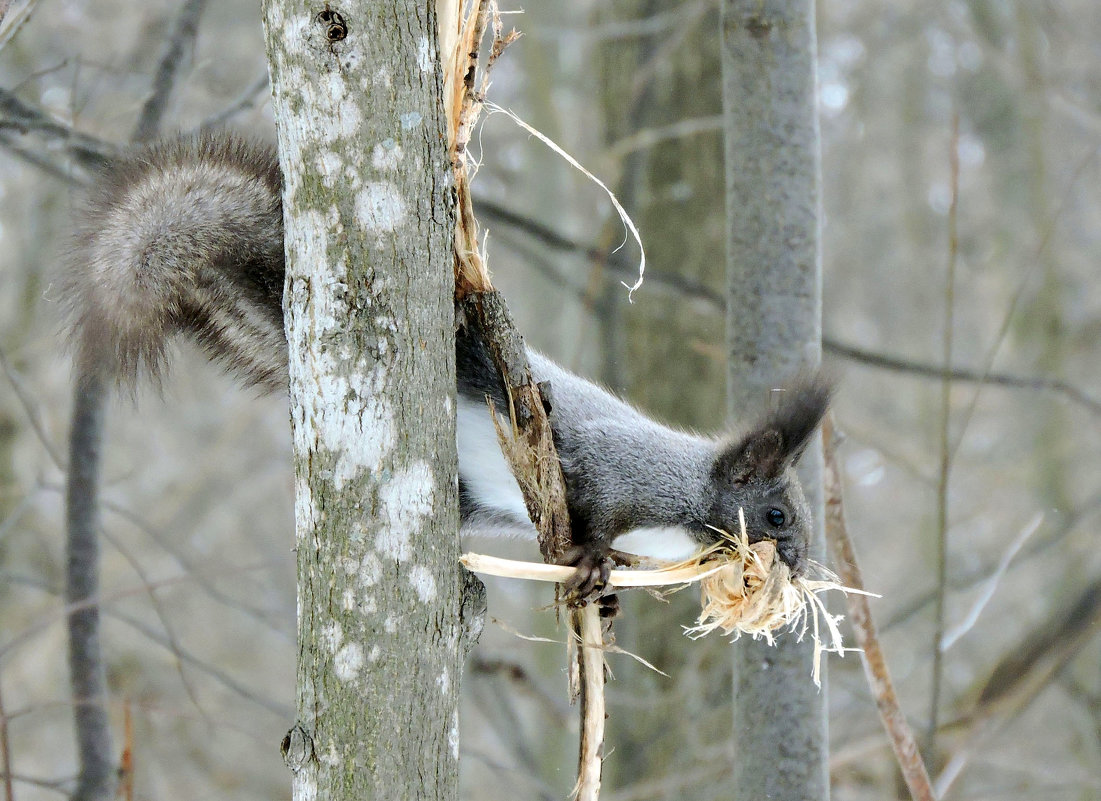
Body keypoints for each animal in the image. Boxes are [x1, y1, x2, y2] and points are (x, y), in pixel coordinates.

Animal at [64, 131, 827, 580]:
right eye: (777, 516)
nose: (793, 566)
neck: (691, 504)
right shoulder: (624, 472)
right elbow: (601, 509)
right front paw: (589, 559)